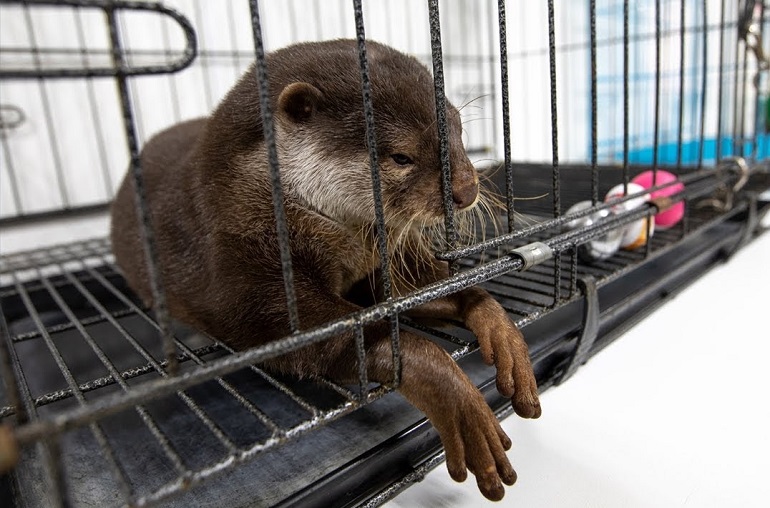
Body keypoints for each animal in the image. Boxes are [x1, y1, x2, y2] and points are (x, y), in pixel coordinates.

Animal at [111, 39, 536, 500]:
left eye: (458, 131)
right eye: (401, 156)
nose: (467, 190)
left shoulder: (382, 263)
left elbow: (438, 291)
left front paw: (501, 330)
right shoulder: (243, 267)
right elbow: (351, 339)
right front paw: (458, 399)